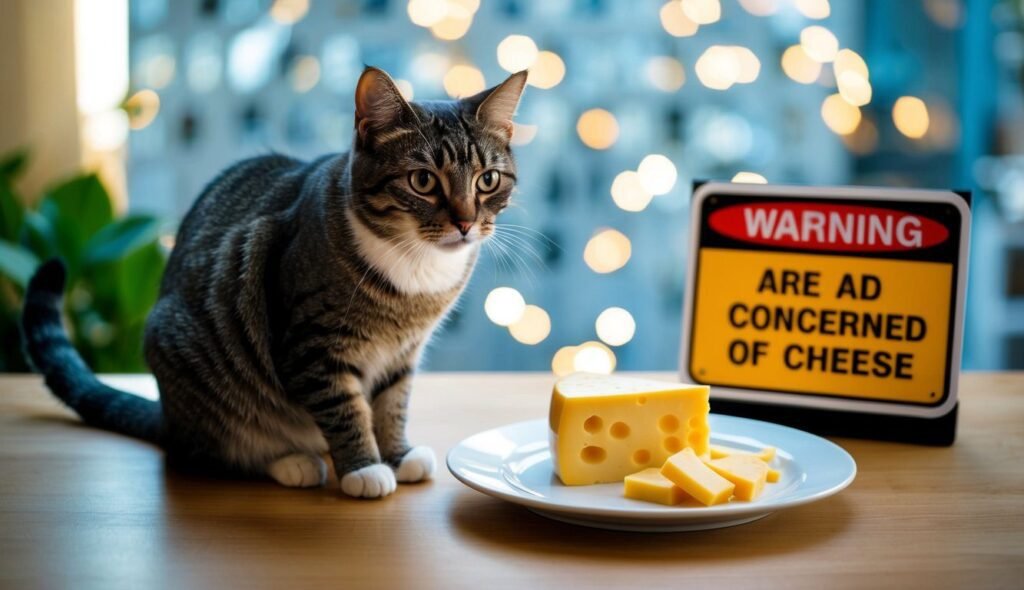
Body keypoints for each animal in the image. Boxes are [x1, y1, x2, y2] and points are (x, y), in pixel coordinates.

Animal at [24, 64, 528, 497]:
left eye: (487, 180)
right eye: (423, 180)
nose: (465, 223)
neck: (416, 272)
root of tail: (168, 416)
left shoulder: (403, 352)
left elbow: (392, 403)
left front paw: (398, 455)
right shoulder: (312, 343)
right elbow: (343, 407)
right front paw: (364, 467)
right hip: (193, 366)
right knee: (211, 451)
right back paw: (292, 461)